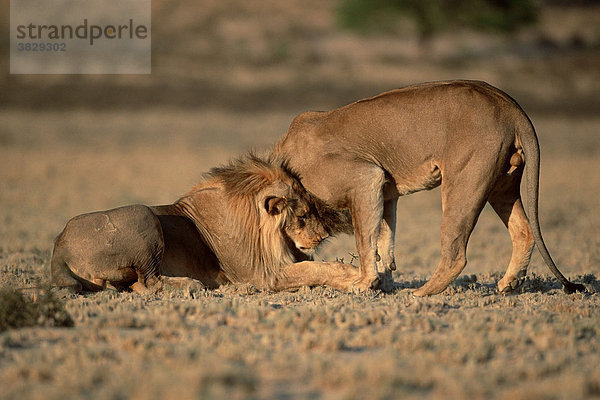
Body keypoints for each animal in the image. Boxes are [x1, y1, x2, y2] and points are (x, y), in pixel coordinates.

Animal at [51, 155, 358, 292]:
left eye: (313, 209)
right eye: (303, 215)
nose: (322, 236)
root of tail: (59, 247)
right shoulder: (262, 276)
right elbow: (316, 268)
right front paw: (354, 277)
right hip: (143, 215)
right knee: (149, 281)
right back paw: (191, 284)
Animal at [274, 79, 584, 296]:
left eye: (297, 218)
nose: (313, 242)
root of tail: (509, 105)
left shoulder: (365, 177)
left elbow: (364, 240)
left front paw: (364, 283)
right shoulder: (384, 189)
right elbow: (384, 234)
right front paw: (385, 278)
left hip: (464, 181)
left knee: (456, 253)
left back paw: (421, 293)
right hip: (503, 183)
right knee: (524, 231)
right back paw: (509, 284)